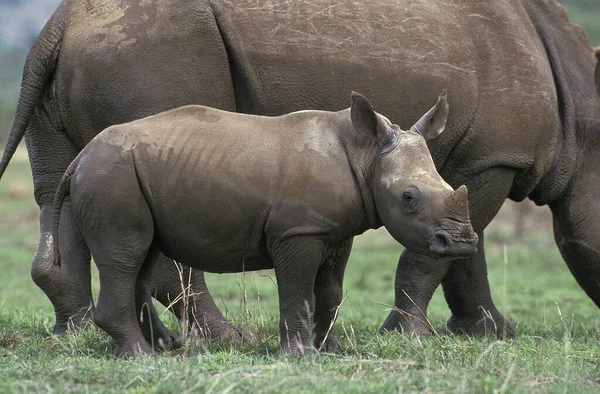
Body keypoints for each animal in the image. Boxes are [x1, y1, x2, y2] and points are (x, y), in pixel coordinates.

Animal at [55, 93, 478, 358]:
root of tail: (79, 158)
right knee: (125, 256)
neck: (367, 154)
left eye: (447, 185)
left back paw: (165, 346)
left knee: (139, 259)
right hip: (112, 175)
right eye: (408, 198)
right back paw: (142, 356)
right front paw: (301, 355)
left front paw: (333, 350)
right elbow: (298, 290)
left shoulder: (334, 231)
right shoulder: (298, 231)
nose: (462, 243)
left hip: (126, 173)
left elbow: (330, 291)